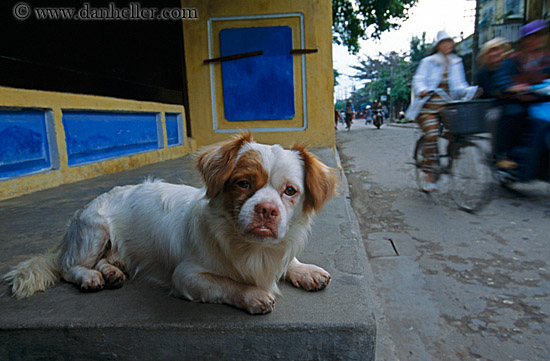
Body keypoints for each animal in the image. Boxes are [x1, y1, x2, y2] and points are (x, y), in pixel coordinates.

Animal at [4, 134, 338, 314]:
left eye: (290, 191)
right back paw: (90, 277)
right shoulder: (186, 276)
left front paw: (304, 270)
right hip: (94, 228)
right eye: (243, 183)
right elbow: (227, 284)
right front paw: (253, 295)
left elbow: (288, 261)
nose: (267, 210)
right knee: (68, 267)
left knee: (103, 260)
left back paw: (111, 272)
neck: (251, 248)